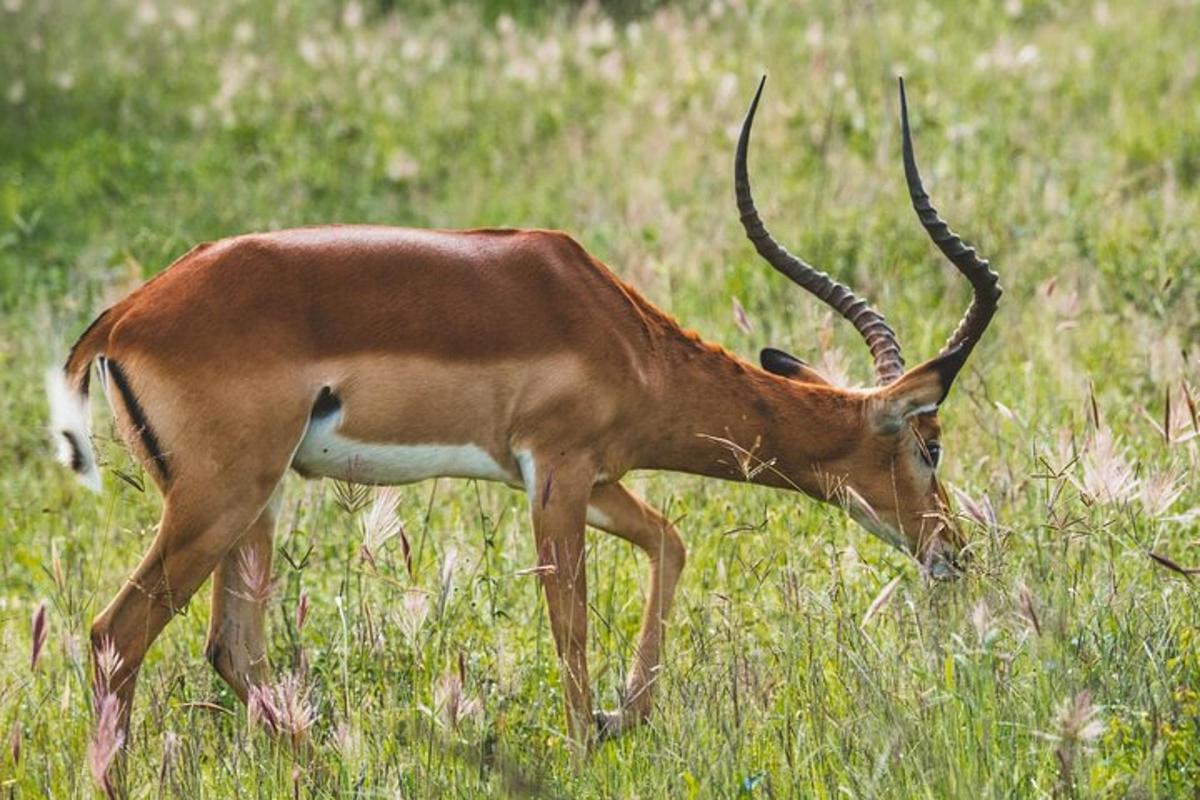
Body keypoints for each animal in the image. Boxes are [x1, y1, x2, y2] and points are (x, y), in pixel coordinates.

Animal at [46, 77, 998, 748]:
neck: (621, 333)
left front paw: (622, 718)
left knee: (229, 648)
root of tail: (123, 317)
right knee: (114, 636)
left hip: (258, 503)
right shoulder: (558, 476)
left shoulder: (590, 476)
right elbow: (568, 626)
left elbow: (670, 543)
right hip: (218, 501)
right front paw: (586, 740)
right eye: (931, 444)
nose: (954, 551)